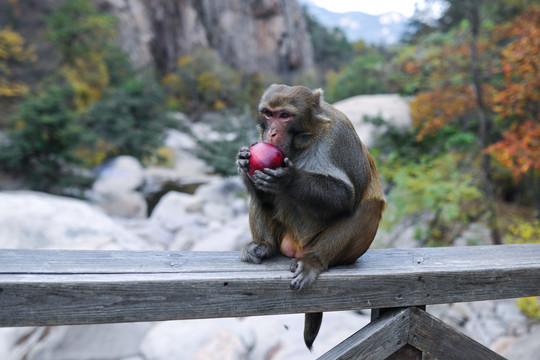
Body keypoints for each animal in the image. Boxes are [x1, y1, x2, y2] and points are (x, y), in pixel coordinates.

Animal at [236, 83, 384, 348]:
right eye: (268, 114)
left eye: (285, 115)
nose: (271, 134)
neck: (303, 139)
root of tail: (297, 247)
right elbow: (263, 194)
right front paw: (243, 162)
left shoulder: (338, 137)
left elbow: (345, 196)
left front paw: (289, 180)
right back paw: (264, 246)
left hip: (343, 251)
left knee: (368, 207)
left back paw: (314, 260)